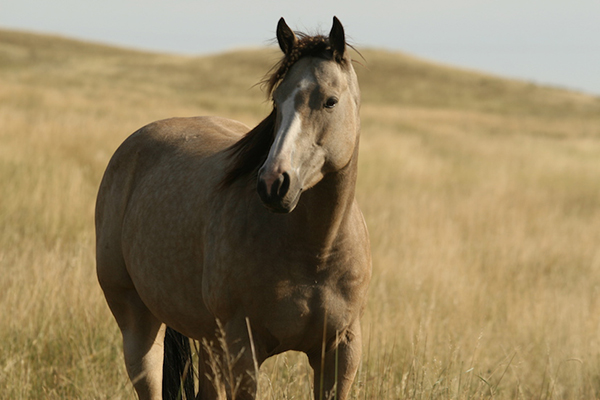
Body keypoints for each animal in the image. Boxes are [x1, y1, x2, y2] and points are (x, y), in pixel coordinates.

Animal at [95, 16, 370, 400]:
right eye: (277, 101)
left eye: (330, 101)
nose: (273, 183)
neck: (316, 253)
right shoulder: (244, 352)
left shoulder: (341, 353)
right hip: (139, 326)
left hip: (210, 342)